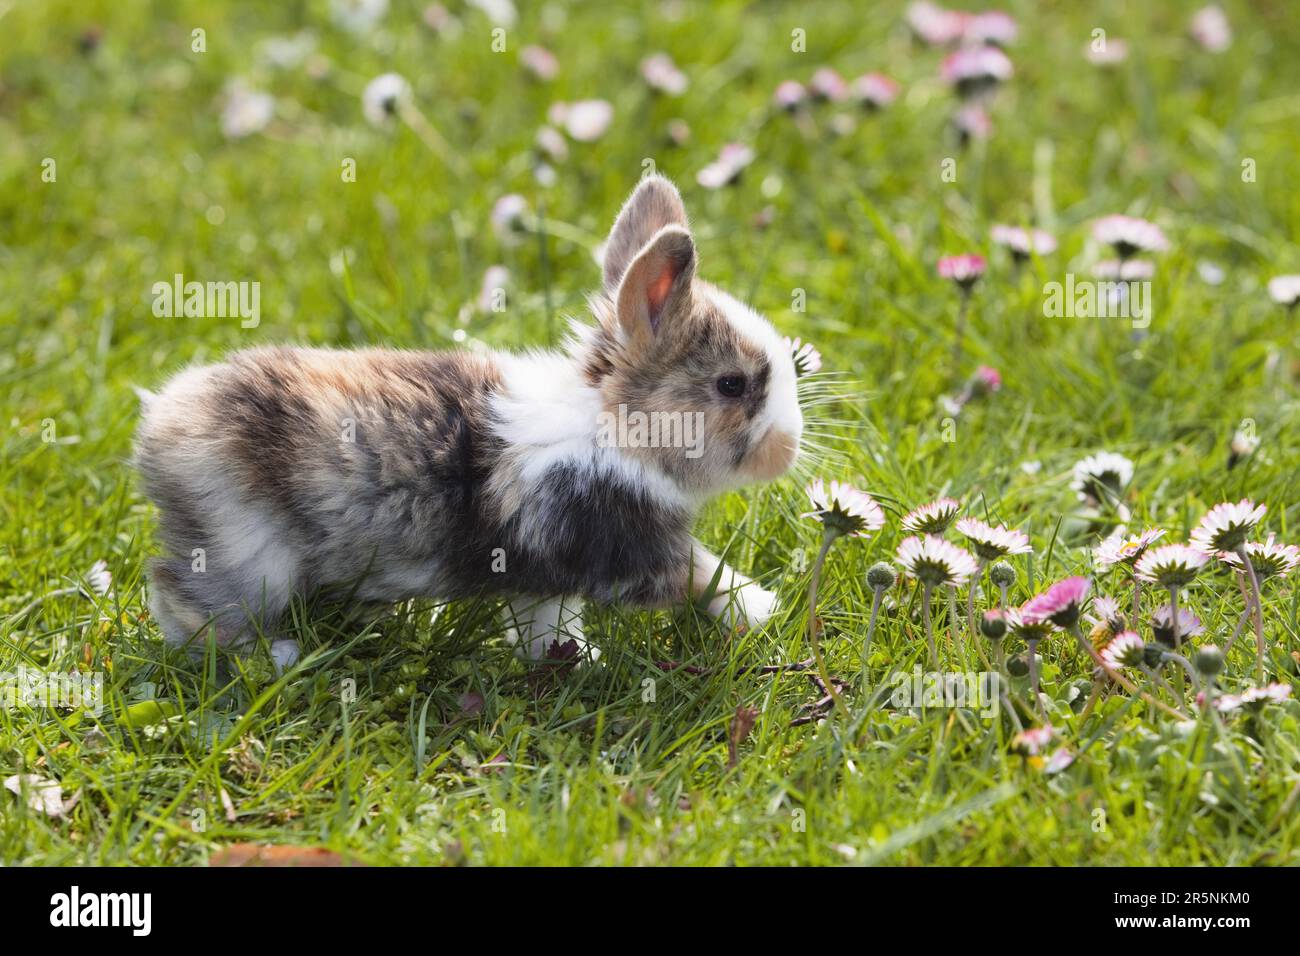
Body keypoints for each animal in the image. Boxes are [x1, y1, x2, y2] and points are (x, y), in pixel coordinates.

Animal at [134, 175, 803, 670]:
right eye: (732, 384)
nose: (790, 449)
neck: (614, 427)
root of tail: (161, 421)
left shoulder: (544, 575)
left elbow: (545, 622)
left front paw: (570, 659)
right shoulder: (630, 548)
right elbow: (702, 575)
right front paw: (763, 609)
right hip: (248, 551)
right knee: (186, 603)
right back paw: (276, 656)